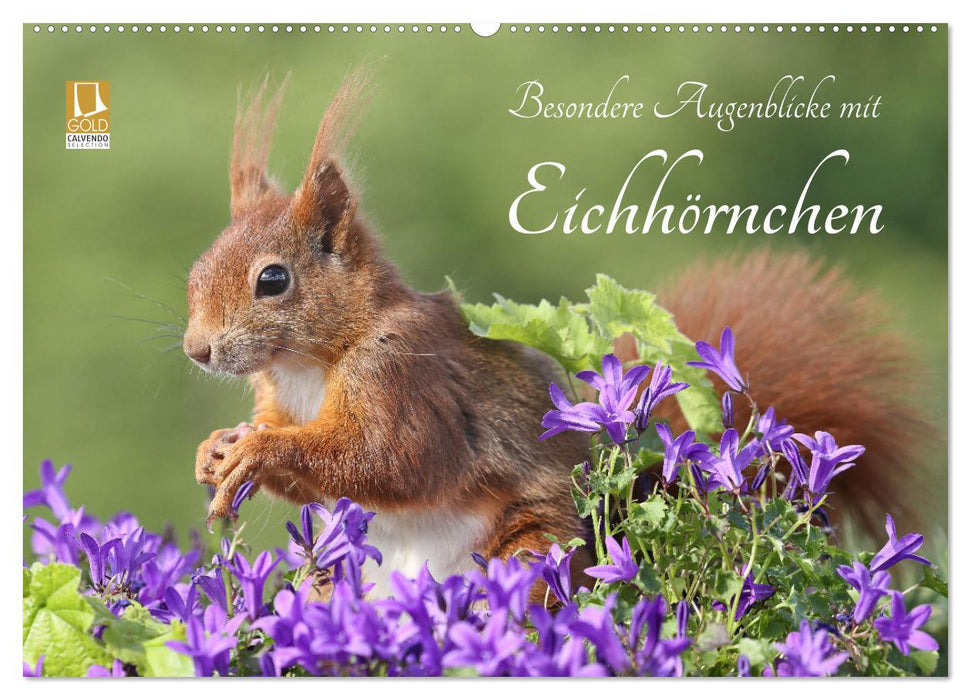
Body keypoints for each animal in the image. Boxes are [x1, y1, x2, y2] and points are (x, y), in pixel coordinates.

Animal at [183, 73, 929, 598]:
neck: (313, 360)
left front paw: (257, 453)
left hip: (535, 547)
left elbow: (390, 460)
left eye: (272, 280)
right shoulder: (278, 395)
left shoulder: (402, 375)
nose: (198, 350)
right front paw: (215, 450)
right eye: (196, 268)